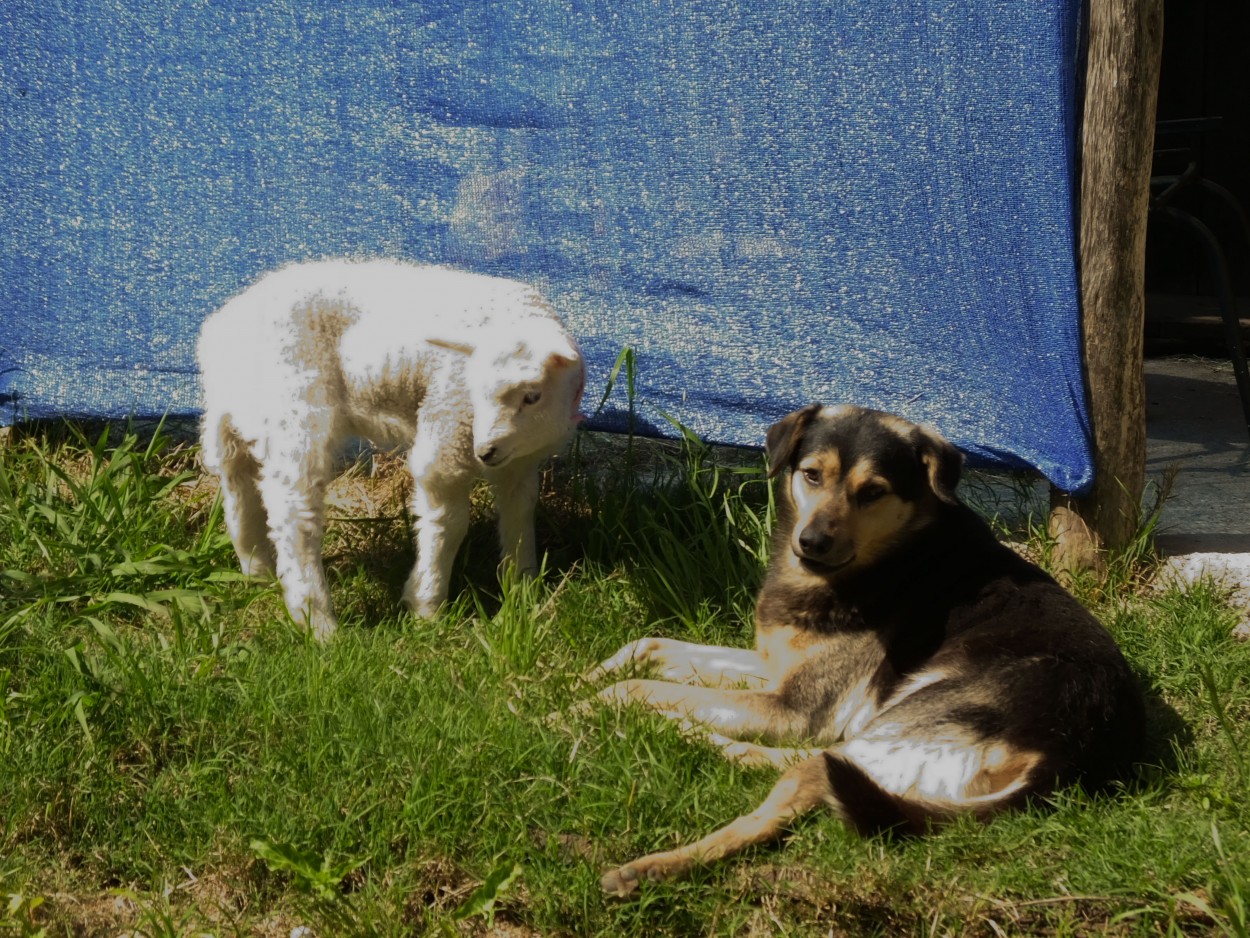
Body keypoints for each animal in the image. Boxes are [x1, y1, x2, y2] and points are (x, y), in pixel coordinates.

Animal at [195, 258, 585, 640]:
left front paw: (523, 590)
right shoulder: (447, 429)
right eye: (473, 389)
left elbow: (520, 510)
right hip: (296, 403)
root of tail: (224, 321)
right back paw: (317, 621)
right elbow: (449, 520)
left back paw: (256, 566)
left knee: (235, 472)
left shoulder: (520, 461)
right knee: (293, 510)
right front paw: (427, 604)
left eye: (532, 396)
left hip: (241, 406)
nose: (484, 451)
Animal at [585, 402, 1145, 895]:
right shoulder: (774, 671)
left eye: (873, 491)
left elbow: (645, 686)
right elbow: (649, 647)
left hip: (902, 715)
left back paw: (654, 853)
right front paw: (589, 673)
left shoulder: (795, 707)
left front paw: (590, 702)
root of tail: (1062, 753)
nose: (812, 543)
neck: (893, 556)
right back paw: (682, 740)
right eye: (811, 475)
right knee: (797, 769)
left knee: (798, 778)